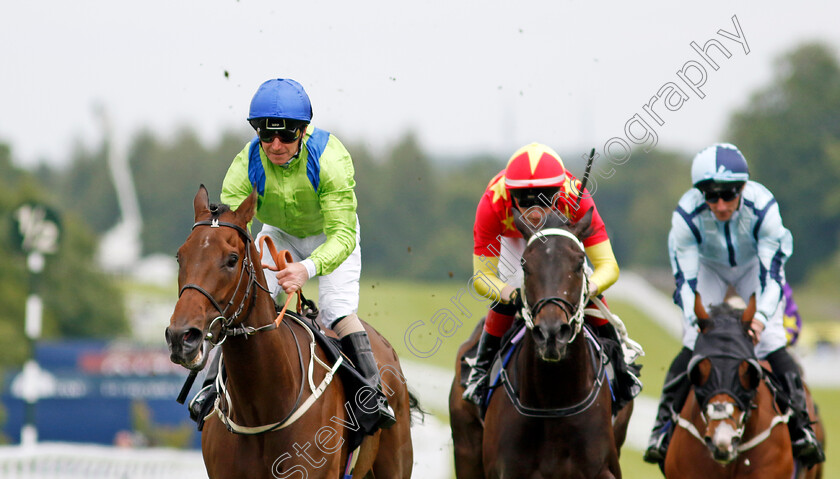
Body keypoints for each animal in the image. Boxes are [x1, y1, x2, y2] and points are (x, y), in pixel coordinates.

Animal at [446, 210, 632, 479]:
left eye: (579, 263)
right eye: (525, 264)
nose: (551, 332)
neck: (554, 399)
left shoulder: (603, 468)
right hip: (466, 448)